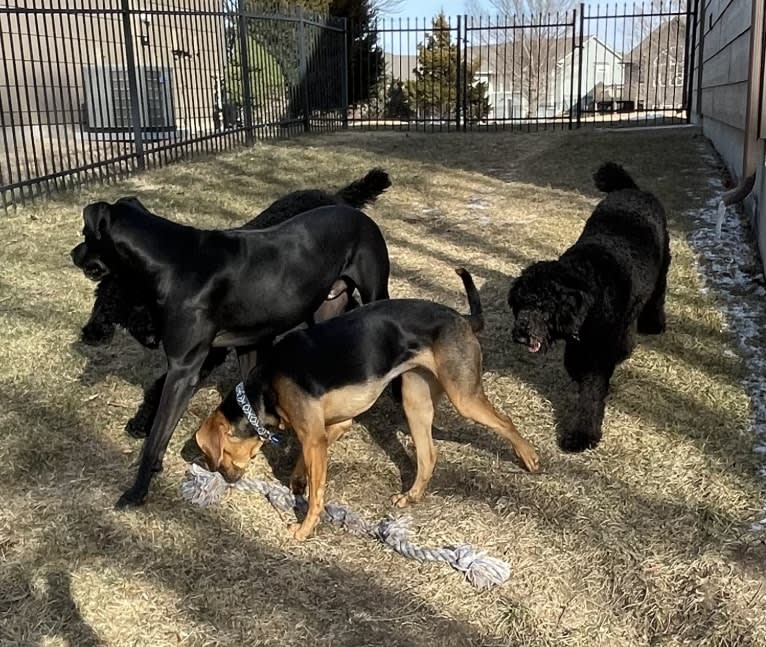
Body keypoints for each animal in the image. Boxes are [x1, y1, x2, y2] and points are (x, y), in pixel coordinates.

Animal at [70, 200, 390, 508]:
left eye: (86, 234)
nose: (73, 254)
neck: (174, 260)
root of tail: (358, 214)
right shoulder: (247, 345)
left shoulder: (183, 371)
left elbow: (157, 432)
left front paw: (137, 492)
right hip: (325, 309)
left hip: (373, 292)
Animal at [79, 170, 392, 440]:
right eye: (123, 316)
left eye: (141, 305)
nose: (152, 339)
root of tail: (335, 196)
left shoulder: (202, 354)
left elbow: (160, 386)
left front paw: (142, 421)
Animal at [194, 268, 540, 540]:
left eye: (219, 454)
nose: (222, 476)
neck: (267, 384)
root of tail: (462, 318)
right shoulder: (329, 429)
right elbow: (305, 465)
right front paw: (297, 480)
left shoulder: (315, 437)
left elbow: (317, 495)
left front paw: (303, 530)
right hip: (415, 402)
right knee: (428, 456)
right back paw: (411, 497)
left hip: (464, 398)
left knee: (505, 422)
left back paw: (529, 457)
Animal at [510, 165, 672, 454]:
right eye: (520, 304)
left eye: (542, 307)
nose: (520, 334)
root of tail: (632, 189)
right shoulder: (583, 340)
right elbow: (574, 364)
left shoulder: (598, 350)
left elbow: (591, 393)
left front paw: (581, 436)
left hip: (662, 266)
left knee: (656, 297)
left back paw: (653, 325)